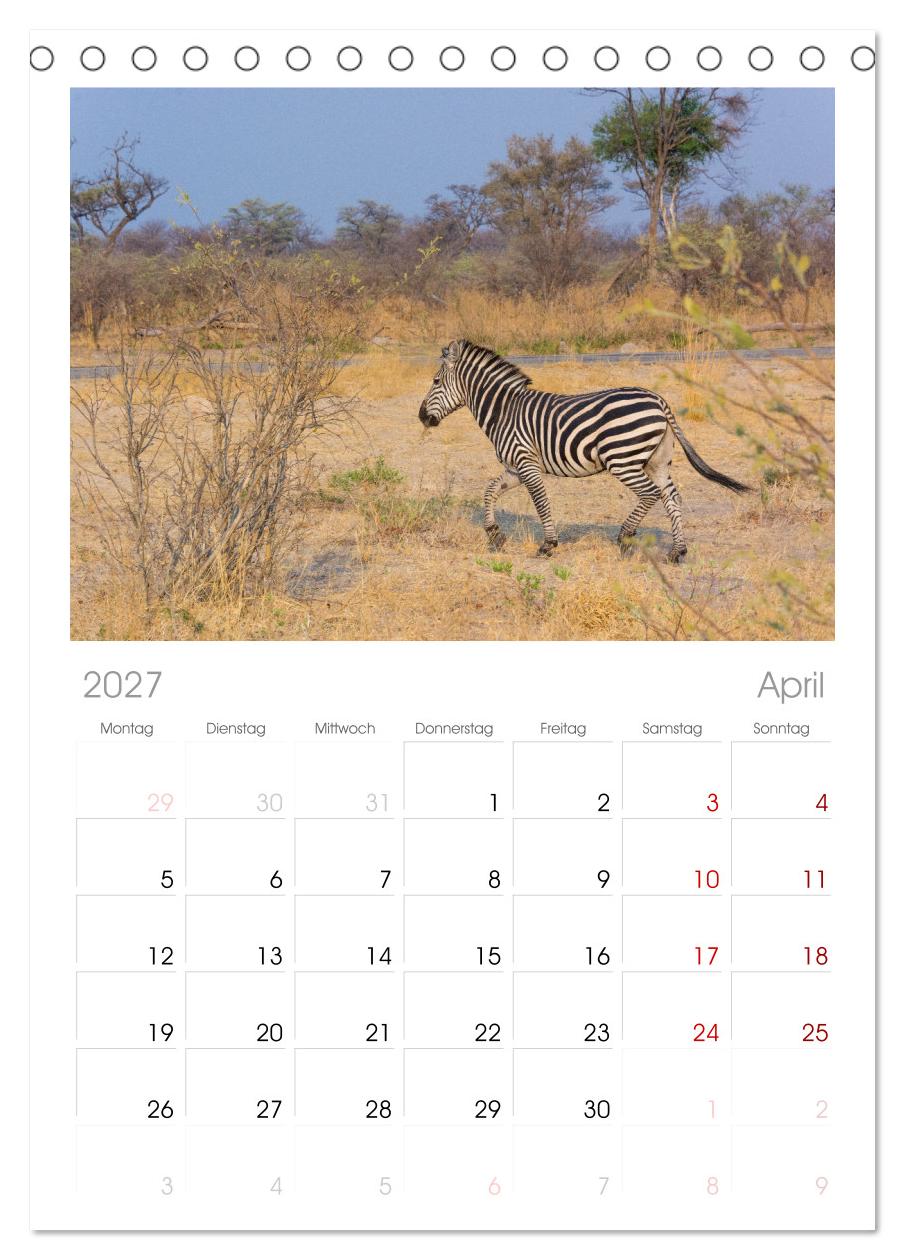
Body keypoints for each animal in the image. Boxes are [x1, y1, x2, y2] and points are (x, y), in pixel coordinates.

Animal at [418, 339, 751, 561]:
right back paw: (676, 551)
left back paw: (625, 537)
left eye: (435, 381)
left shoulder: (527, 463)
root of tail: (659, 400)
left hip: (622, 459)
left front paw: (548, 545)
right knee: (671, 497)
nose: (421, 417)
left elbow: (540, 502)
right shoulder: (514, 467)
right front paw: (495, 535)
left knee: (650, 494)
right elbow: (489, 491)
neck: (504, 410)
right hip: (657, 461)